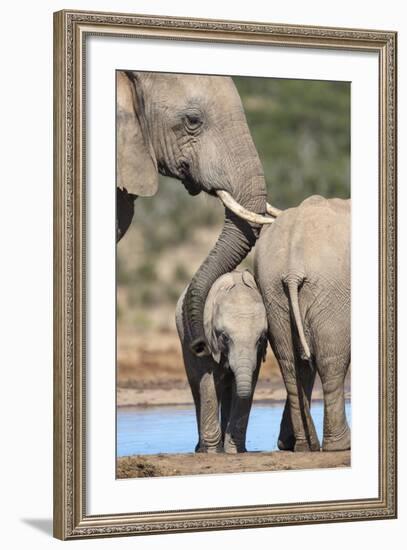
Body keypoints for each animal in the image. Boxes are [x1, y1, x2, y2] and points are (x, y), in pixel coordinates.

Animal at [175, 270, 268, 454]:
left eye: (260, 339)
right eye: (225, 337)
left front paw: (234, 450)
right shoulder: (206, 339)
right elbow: (208, 383)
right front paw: (213, 451)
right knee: (197, 388)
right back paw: (201, 448)